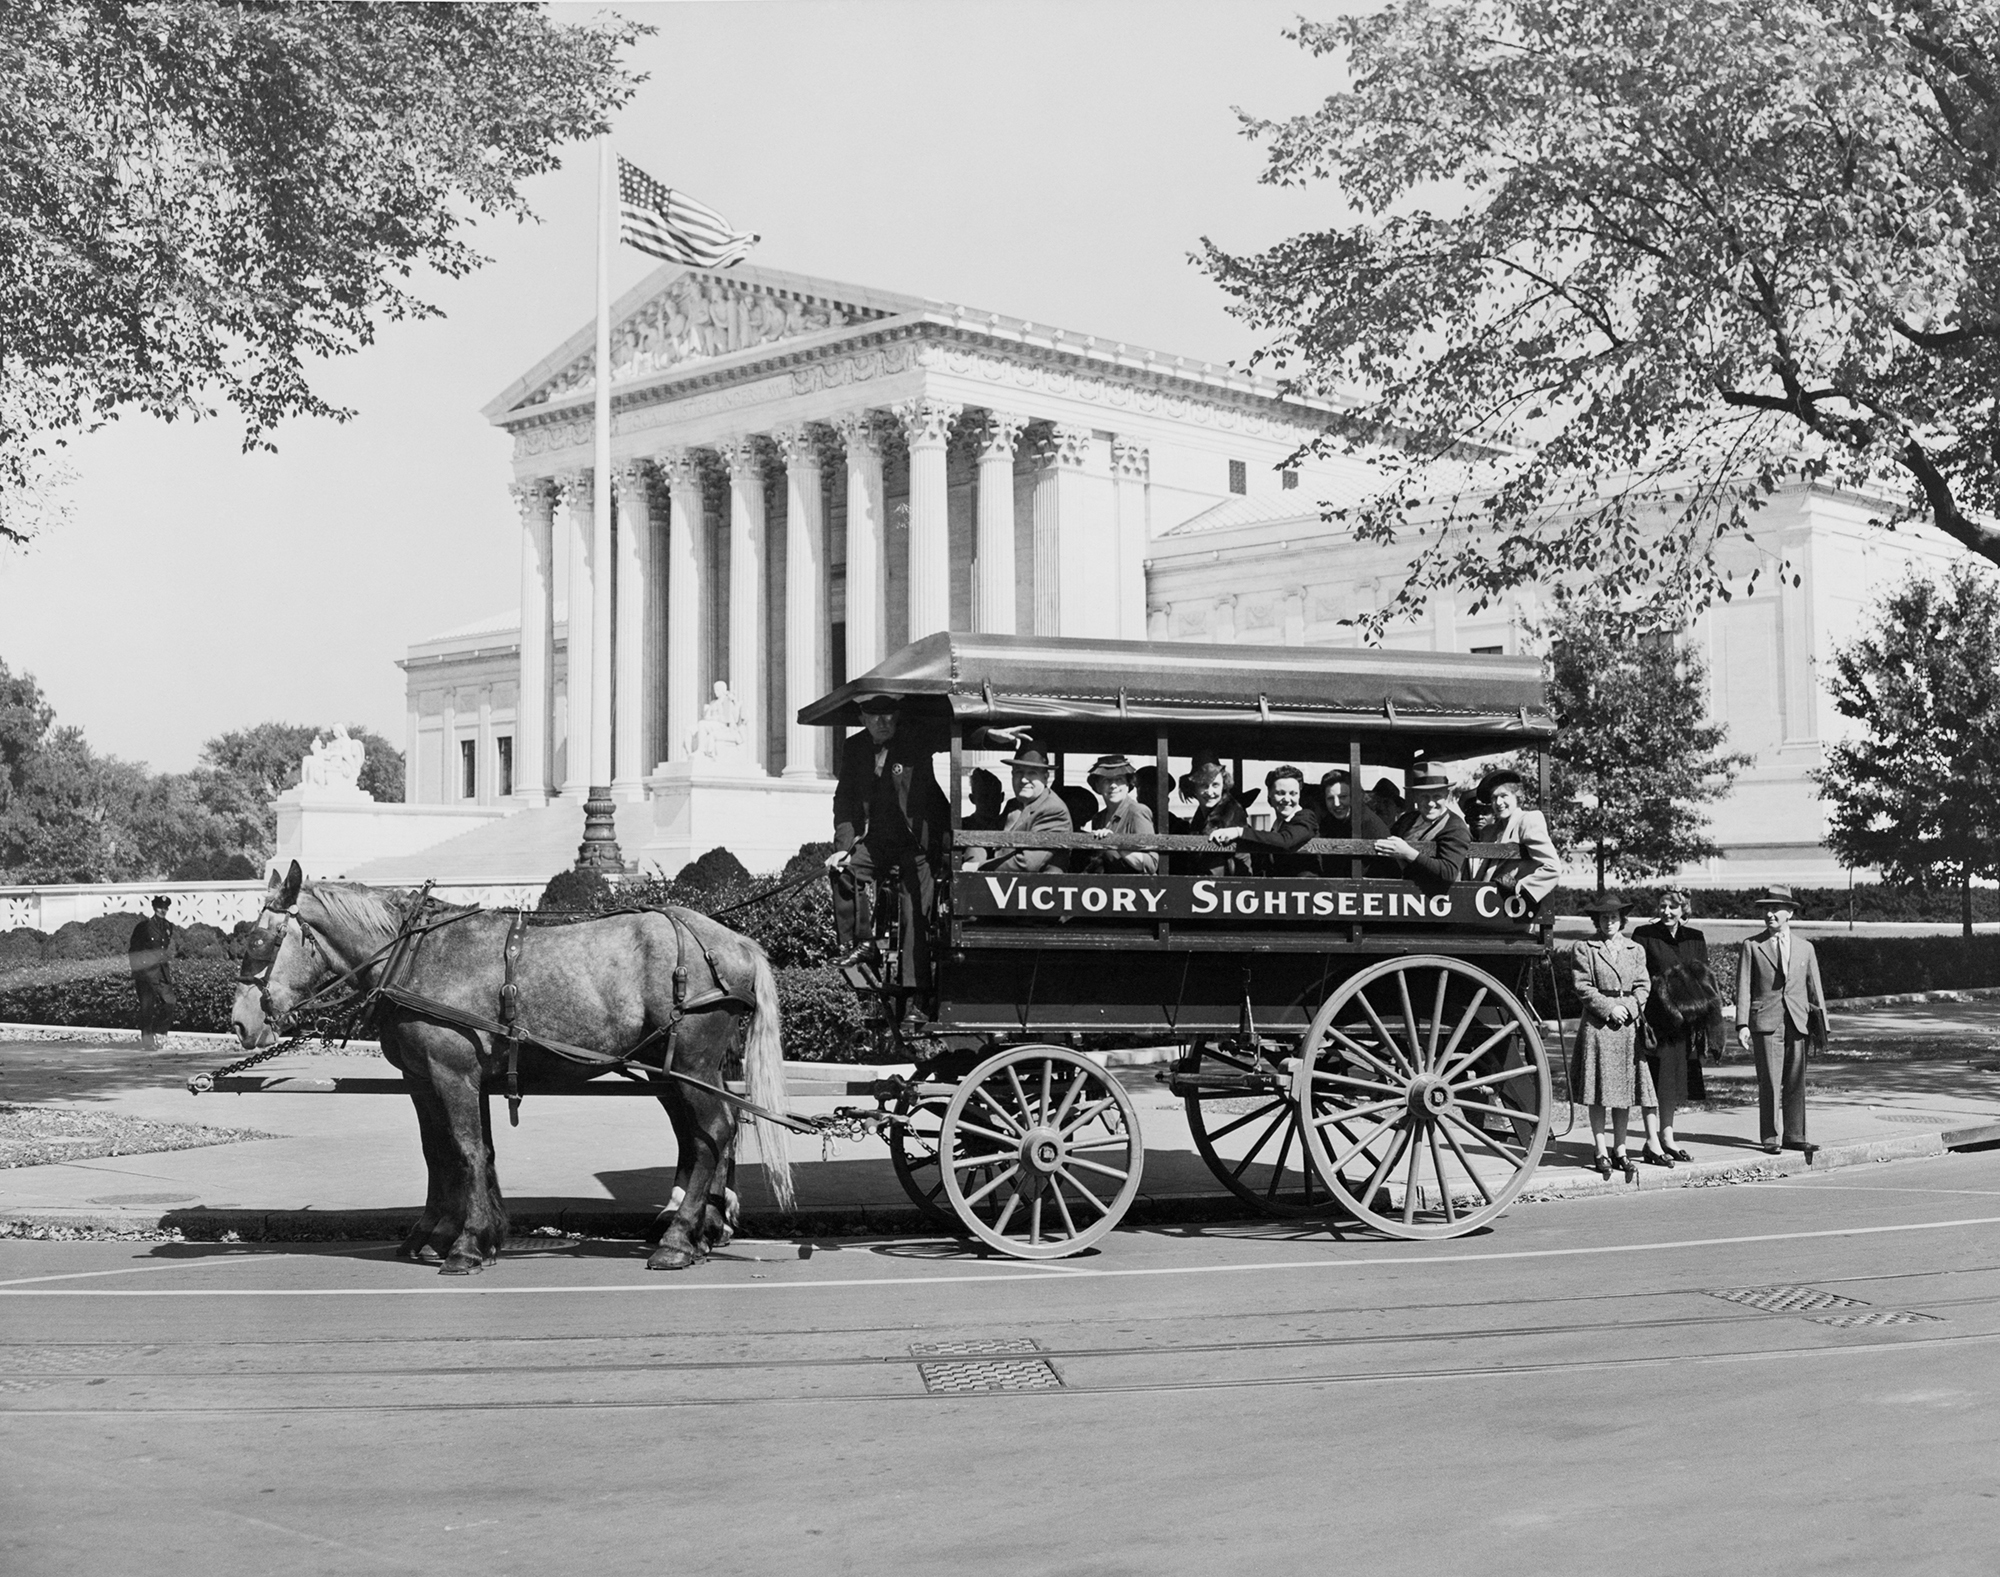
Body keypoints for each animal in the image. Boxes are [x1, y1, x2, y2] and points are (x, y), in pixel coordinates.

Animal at [230, 856, 792, 1272]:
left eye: (261, 940)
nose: (239, 1021)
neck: (412, 955)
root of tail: (736, 942)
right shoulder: (426, 1078)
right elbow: (443, 1152)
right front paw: (445, 1231)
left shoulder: (452, 1072)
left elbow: (466, 1150)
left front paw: (467, 1243)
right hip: (672, 1068)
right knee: (707, 1134)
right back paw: (700, 1229)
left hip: (691, 1064)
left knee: (713, 1131)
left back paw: (678, 1239)